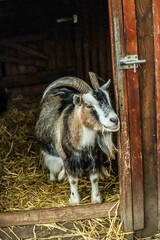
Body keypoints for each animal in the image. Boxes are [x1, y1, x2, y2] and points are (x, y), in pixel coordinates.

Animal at [35, 72, 120, 203]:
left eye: (108, 100)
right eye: (88, 105)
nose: (114, 120)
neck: (83, 146)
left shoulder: (94, 158)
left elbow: (94, 178)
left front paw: (96, 199)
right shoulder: (68, 160)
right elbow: (73, 180)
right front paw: (75, 200)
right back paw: (53, 177)